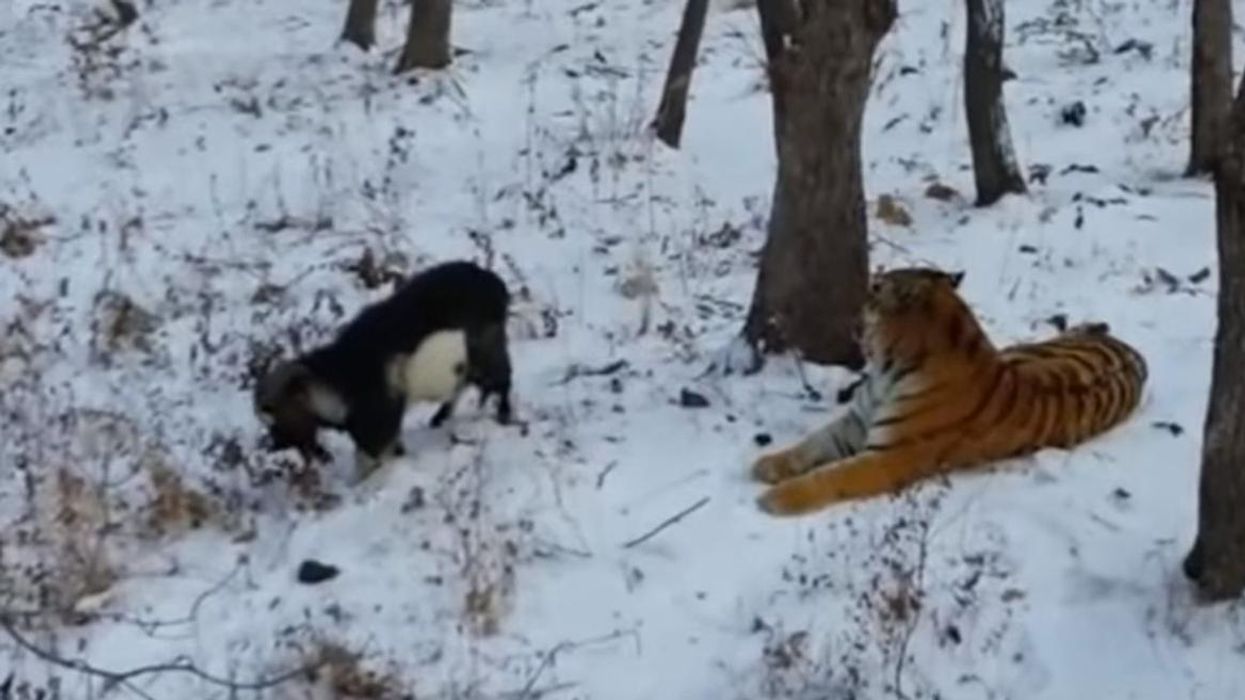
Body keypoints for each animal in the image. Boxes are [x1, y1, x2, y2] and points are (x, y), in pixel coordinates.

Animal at [751, 266, 1148, 517]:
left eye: (875, 290)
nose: (856, 304)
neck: (888, 370)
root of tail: (1134, 351)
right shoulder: (856, 422)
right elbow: (811, 444)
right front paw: (767, 465)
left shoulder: (886, 457)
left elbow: (829, 476)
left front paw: (776, 498)